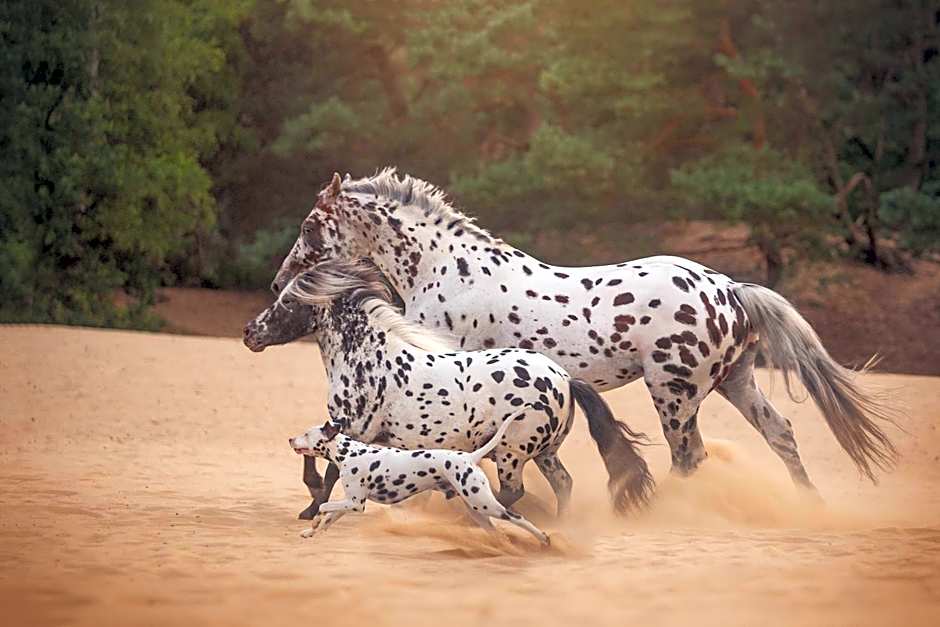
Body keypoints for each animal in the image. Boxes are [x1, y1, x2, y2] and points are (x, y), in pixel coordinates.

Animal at [245, 258, 654, 519]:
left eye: (287, 302)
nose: (250, 333)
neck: (368, 356)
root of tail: (564, 379)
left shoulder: (353, 427)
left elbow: (324, 466)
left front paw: (310, 508)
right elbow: (312, 452)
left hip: (511, 451)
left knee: (513, 491)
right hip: (544, 452)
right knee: (563, 484)